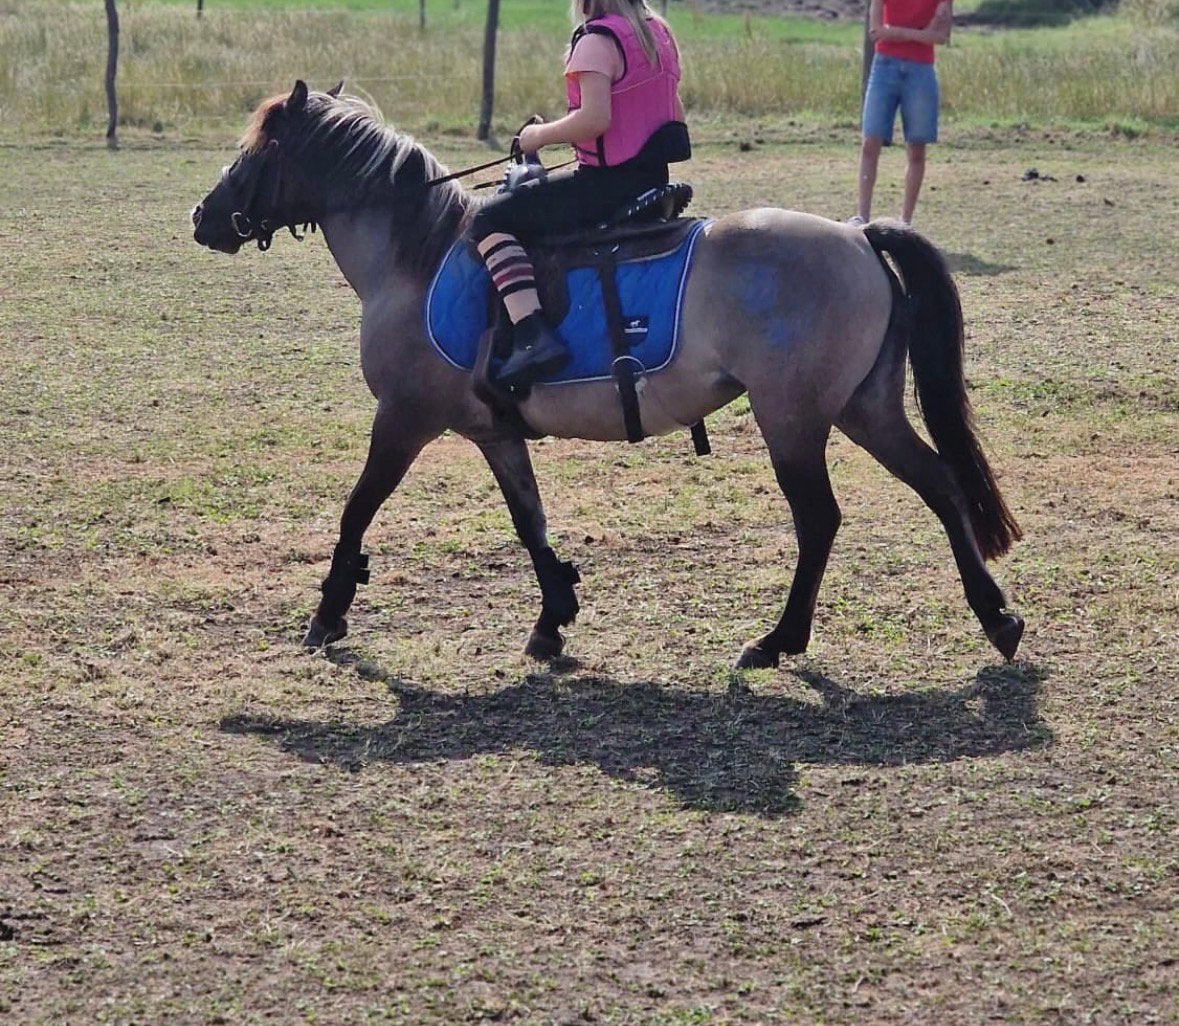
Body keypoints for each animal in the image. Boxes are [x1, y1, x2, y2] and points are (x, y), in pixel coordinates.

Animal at [191, 81, 1024, 669]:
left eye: (260, 149)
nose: (201, 216)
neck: (415, 262)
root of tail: (854, 235)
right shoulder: (494, 433)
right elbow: (529, 522)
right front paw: (553, 615)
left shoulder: (402, 420)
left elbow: (356, 511)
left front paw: (328, 611)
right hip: (864, 407)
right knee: (939, 483)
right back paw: (997, 618)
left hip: (792, 418)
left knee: (819, 519)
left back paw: (778, 639)